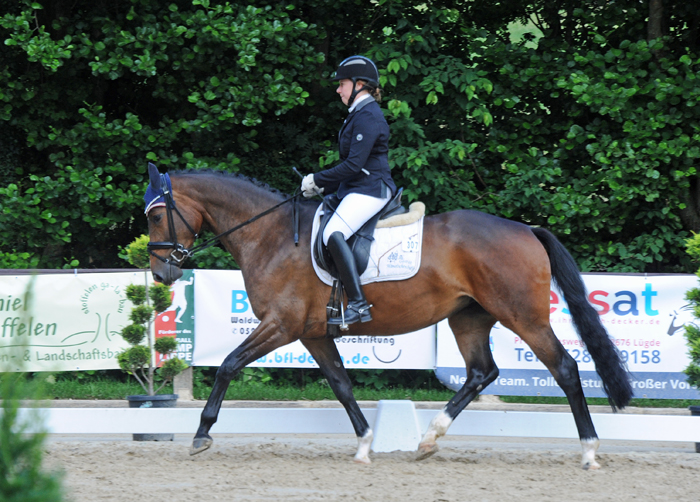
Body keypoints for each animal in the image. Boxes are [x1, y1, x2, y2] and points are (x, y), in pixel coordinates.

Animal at [144, 165, 636, 470]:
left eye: (156, 216)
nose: (162, 273)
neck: (271, 235)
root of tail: (526, 229)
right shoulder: (312, 333)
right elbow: (341, 384)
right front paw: (365, 443)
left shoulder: (280, 326)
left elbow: (227, 365)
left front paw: (201, 434)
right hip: (470, 318)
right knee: (482, 372)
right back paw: (429, 439)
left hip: (523, 317)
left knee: (565, 368)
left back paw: (589, 451)